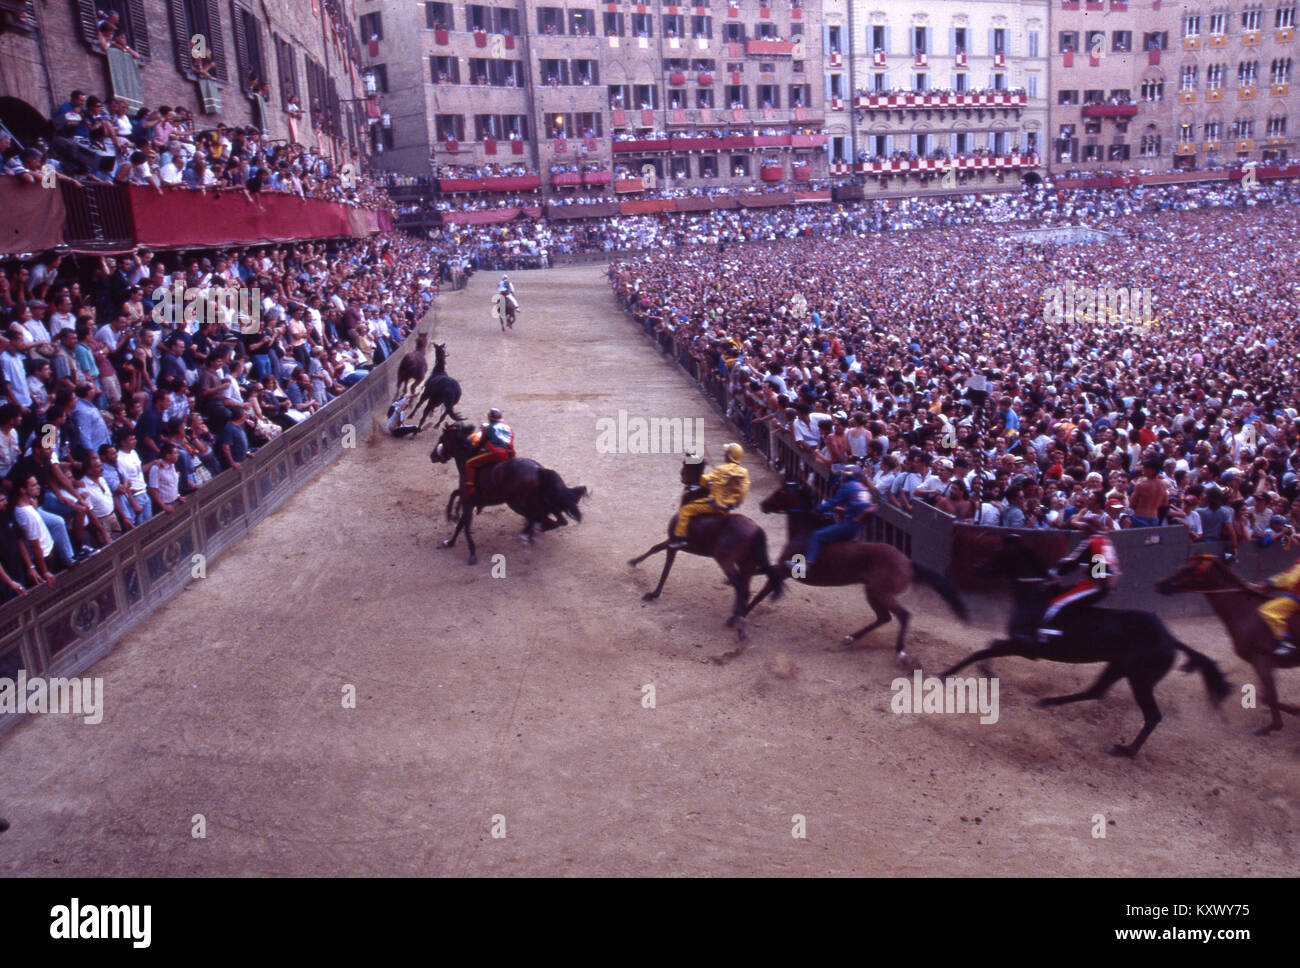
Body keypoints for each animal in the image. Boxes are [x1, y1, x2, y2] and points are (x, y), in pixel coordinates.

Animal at [428, 418, 587, 563]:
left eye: (442, 439)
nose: (433, 455)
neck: (469, 456)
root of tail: (538, 470)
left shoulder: (468, 501)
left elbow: (465, 525)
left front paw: (471, 553)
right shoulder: (468, 498)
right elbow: (459, 516)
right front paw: (450, 539)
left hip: (517, 504)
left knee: (540, 518)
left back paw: (528, 534)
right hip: (540, 502)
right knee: (556, 520)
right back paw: (531, 533)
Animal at [626, 459, 780, 652]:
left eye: (686, 466)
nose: (681, 476)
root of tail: (757, 530)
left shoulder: (673, 544)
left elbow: (664, 567)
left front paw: (652, 593)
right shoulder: (672, 542)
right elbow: (655, 548)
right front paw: (634, 562)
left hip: (726, 561)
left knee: (740, 587)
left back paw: (738, 624)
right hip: (747, 565)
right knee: (745, 590)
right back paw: (735, 620)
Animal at [748, 478, 972, 665]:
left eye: (780, 492)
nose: (762, 504)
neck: (804, 532)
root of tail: (908, 562)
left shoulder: (784, 570)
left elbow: (764, 588)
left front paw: (743, 613)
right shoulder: (779, 569)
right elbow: (762, 575)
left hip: (881, 592)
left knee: (903, 615)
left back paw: (901, 652)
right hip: (872, 592)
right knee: (884, 617)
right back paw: (850, 638)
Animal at [935, 535, 1227, 753]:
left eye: (998, 552)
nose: (976, 569)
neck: (1034, 595)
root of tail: (1170, 638)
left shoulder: (1024, 645)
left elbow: (983, 649)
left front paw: (945, 674)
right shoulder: (1018, 644)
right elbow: (988, 646)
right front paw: (984, 671)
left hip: (1140, 679)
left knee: (1152, 715)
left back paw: (1125, 751)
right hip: (1118, 667)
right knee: (1096, 691)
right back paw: (1047, 702)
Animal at [1159, 556, 1300, 738]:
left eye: (1189, 569)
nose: (1161, 584)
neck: (1247, 612)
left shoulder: (1261, 658)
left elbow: (1268, 697)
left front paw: (1274, 724)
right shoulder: (1265, 662)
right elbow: (1267, 696)